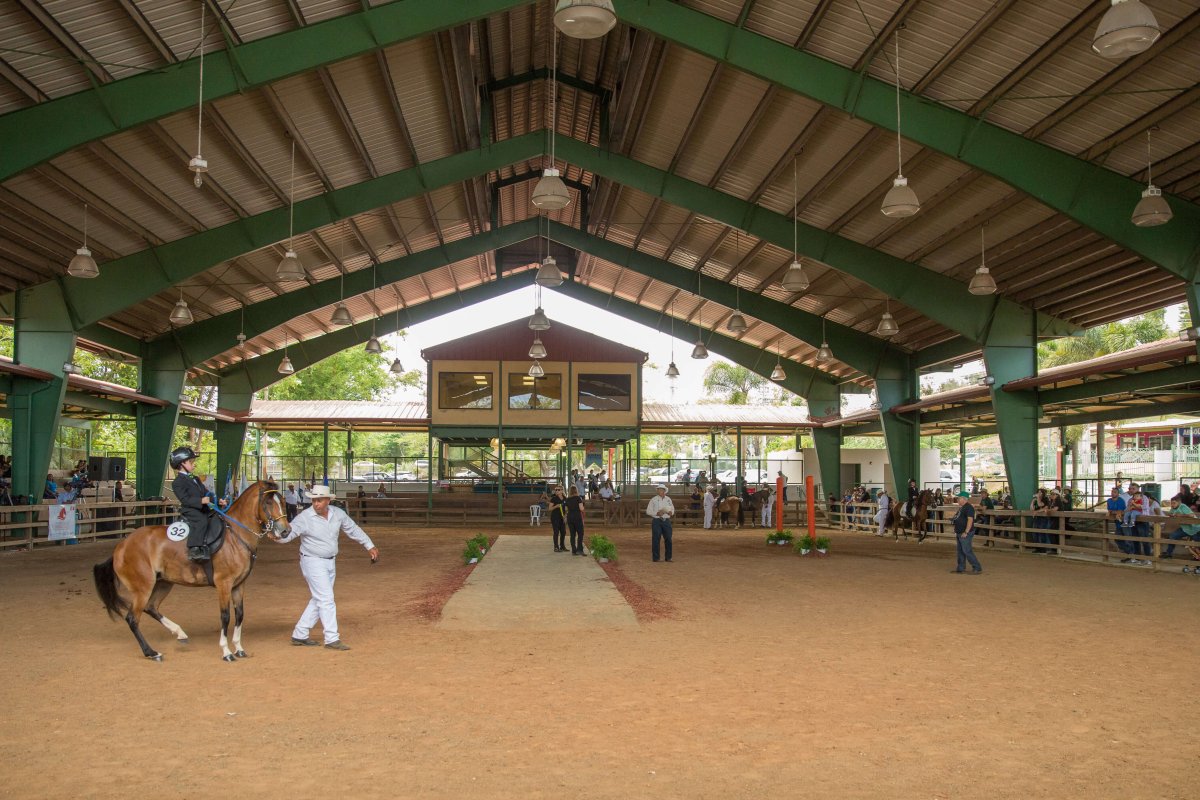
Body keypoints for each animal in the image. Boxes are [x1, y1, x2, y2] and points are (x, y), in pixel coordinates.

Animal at [93, 482, 288, 662]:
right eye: (268, 502)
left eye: (283, 501)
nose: (286, 530)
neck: (235, 537)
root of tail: (121, 547)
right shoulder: (224, 584)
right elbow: (225, 616)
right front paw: (226, 651)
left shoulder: (238, 584)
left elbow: (240, 614)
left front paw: (239, 648)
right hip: (143, 587)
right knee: (133, 619)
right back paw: (152, 653)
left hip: (163, 583)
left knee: (151, 607)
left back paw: (179, 633)